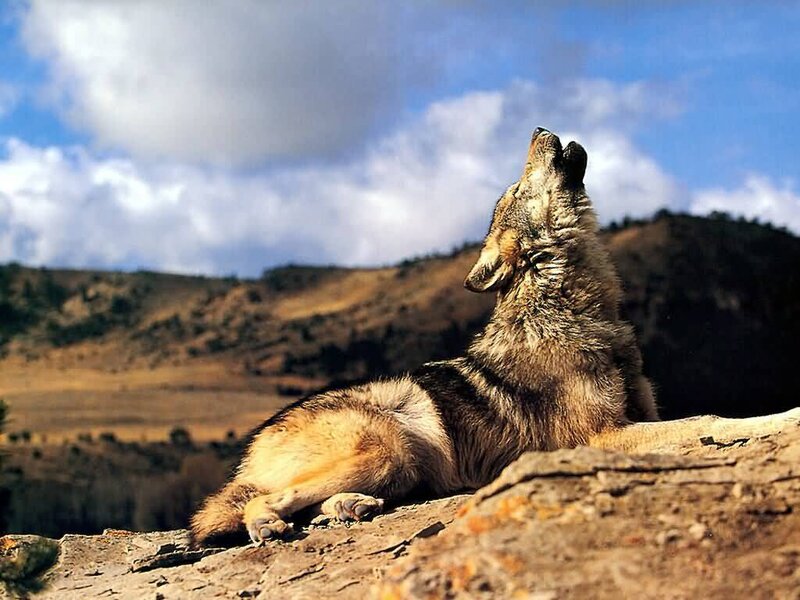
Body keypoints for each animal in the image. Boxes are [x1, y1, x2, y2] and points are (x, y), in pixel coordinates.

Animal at [191, 127, 658, 546]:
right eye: (518, 187)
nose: (539, 128)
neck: (568, 305)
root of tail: (254, 442)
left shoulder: (638, 416)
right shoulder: (602, 436)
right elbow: (677, 431)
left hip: (400, 467)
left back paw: (351, 506)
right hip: (388, 449)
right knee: (265, 500)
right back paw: (269, 524)